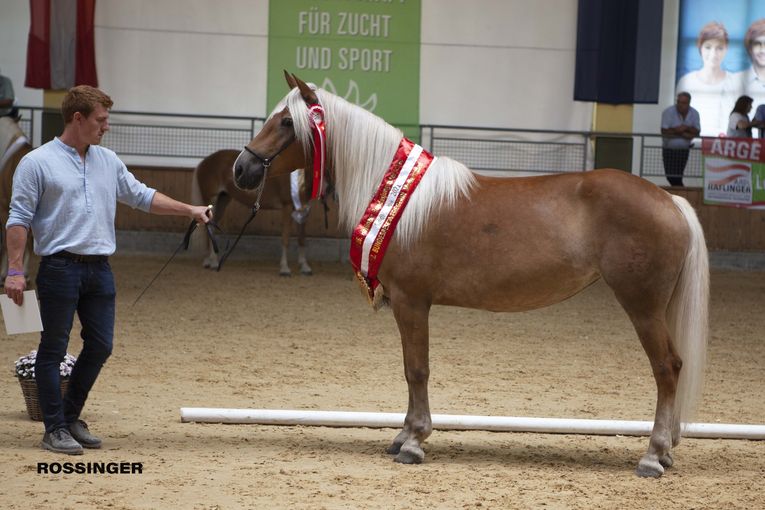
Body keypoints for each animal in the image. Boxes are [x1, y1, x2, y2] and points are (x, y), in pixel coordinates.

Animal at [230, 73, 708, 480]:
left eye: (287, 122)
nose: (241, 168)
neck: (398, 199)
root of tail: (670, 201)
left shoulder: (412, 302)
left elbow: (417, 369)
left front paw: (414, 442)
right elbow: (410, 369)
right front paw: (403, 435)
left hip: (642, 306)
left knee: (667, 368)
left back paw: (653, 455)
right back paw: (665, 451)